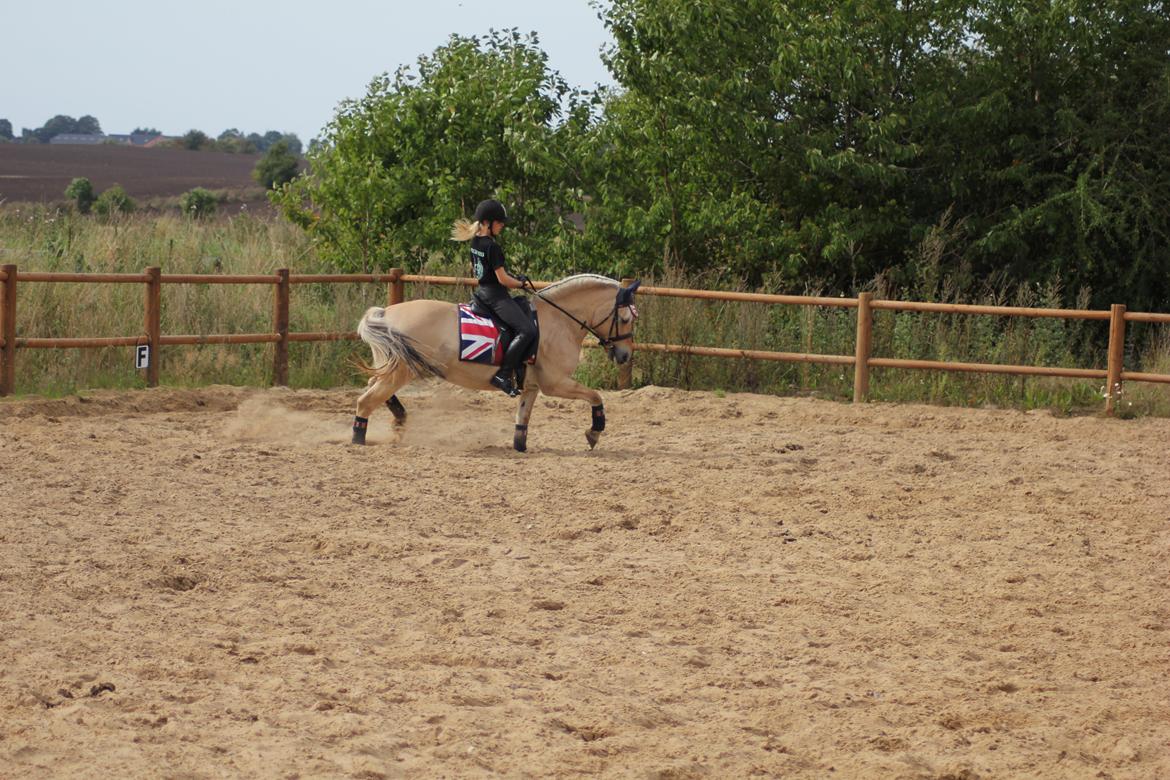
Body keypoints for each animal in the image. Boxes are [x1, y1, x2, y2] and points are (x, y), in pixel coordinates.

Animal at [351, 274, 645, 451]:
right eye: (626, 319)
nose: (624, 355)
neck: (558, 321)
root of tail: (385, 313)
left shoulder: (532, 386)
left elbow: (522, 419)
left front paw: (520, 446)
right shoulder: (556, 384)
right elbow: (595, 396)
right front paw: (594, 433)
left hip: (393, 369)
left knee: (373, 387)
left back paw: (399, 420)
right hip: (399, 372)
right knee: (365, 401)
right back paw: (359, 438)